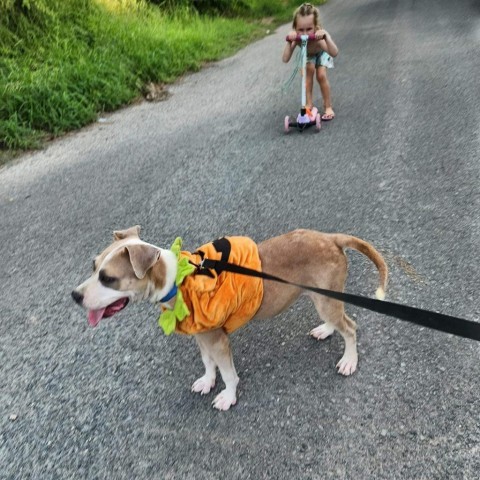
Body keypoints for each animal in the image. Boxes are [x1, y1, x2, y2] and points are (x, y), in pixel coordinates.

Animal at [73, 227, 388, 410]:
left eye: (108, 278)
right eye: (93, 266)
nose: (74, 295)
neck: (178, 280)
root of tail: (330, 237)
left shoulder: (218, 340)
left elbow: (227, 372)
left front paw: (228, 395)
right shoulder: (202, 335)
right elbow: (208, 363)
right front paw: (207, 380)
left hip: (327, 300)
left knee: (350, 328)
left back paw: (349, 360)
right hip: (321, 297)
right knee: (337, 321)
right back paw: (325, 330)